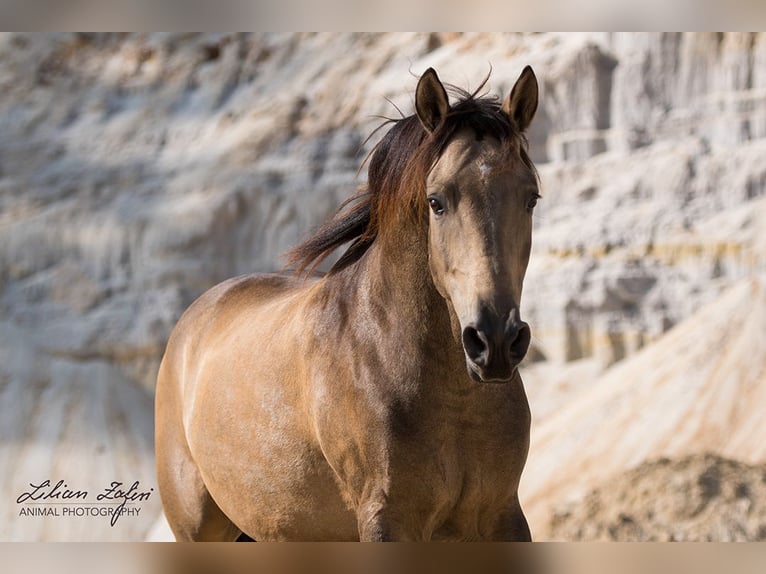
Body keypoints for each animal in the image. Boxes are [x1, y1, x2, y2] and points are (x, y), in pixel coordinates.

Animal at [154, 65, 540, 544]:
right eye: (436, 201)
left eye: (531, 198)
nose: (496, 342)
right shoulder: (386, 520)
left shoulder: (503, 516)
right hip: (199, 527)